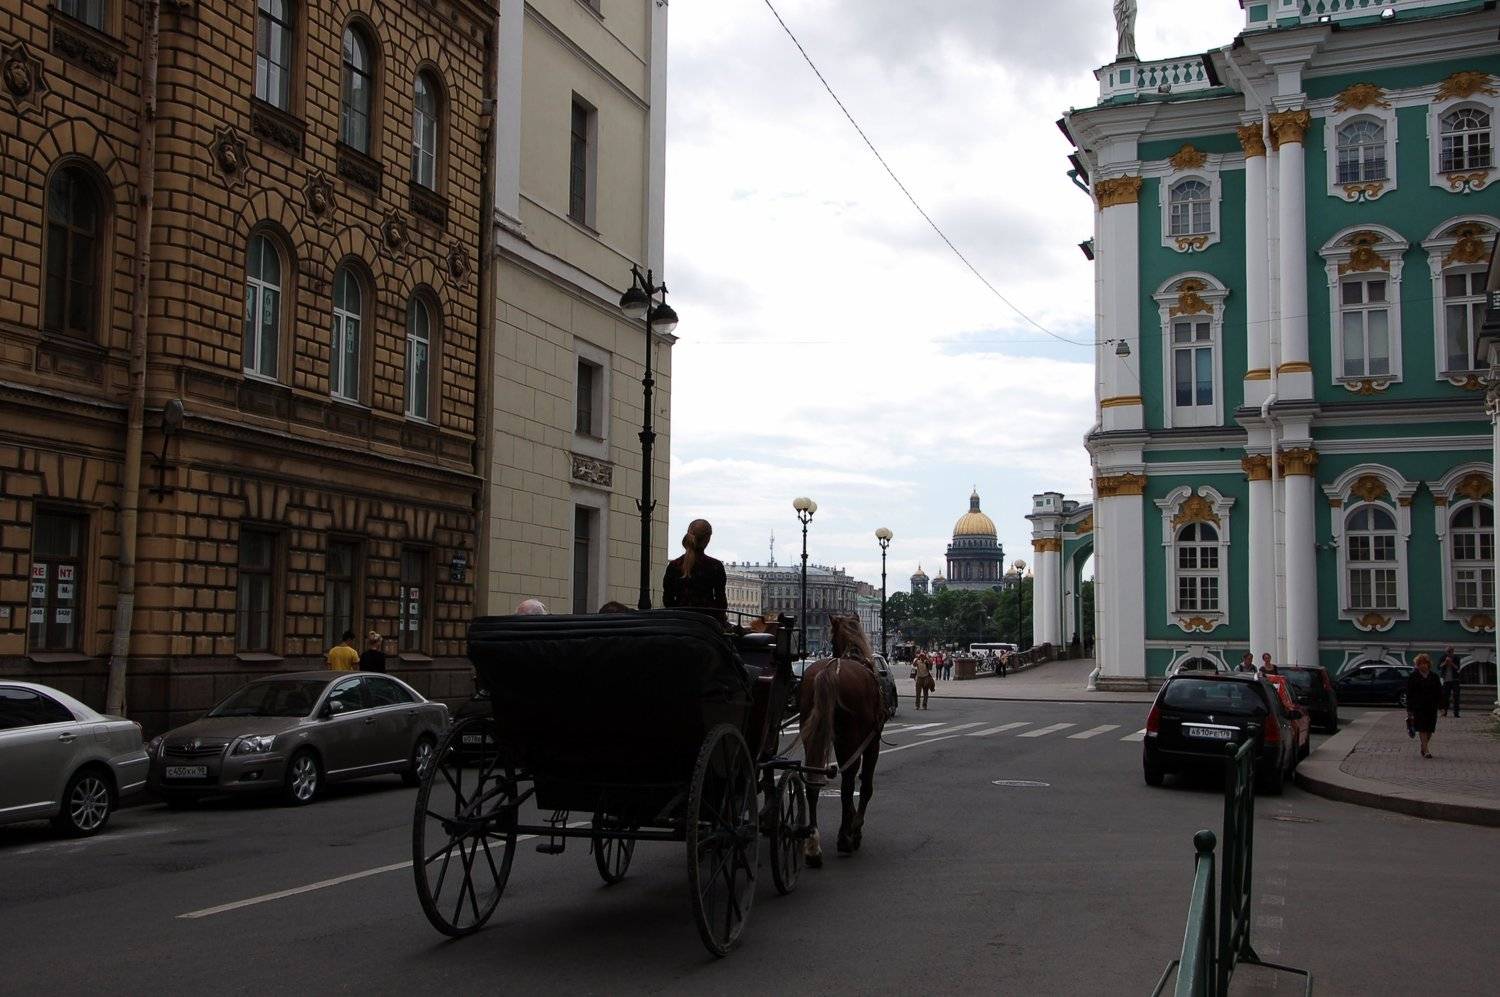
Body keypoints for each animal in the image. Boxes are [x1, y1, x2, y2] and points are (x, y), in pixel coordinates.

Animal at [798, 614, 886, 866]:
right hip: (853, 737)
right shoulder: (871, 742)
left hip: (813, 734)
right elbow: (864, 785)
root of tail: (829, 671)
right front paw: (854, 829)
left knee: (812, 781)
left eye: (830, 639)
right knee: (847, 783)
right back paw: (845, 838)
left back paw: (813, 844)